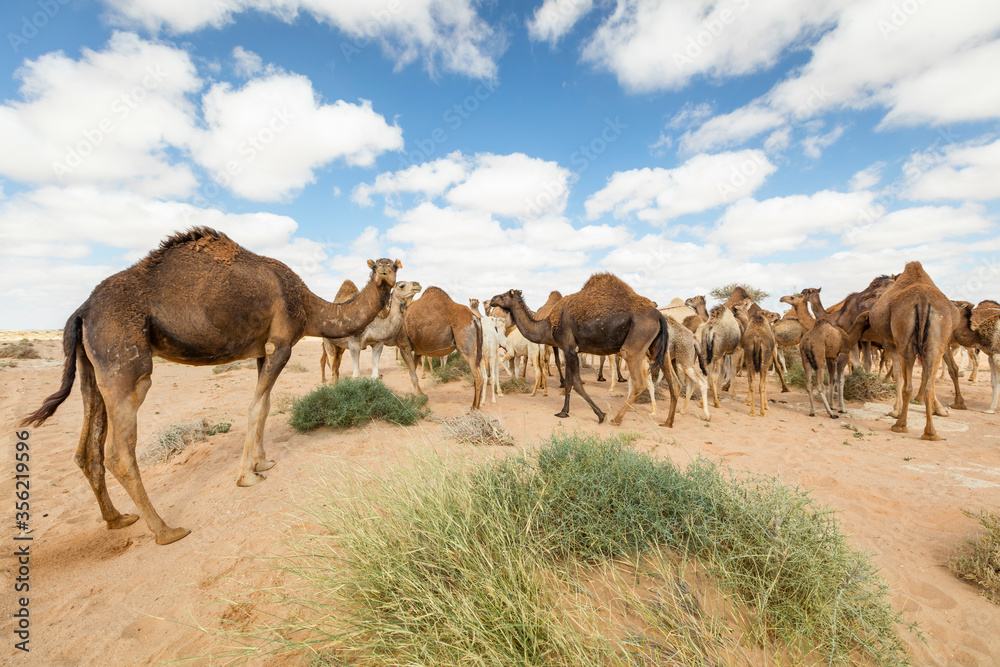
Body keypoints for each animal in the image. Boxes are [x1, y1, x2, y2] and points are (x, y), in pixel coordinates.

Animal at [21, 228, 398, 545]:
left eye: (395, 265)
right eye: (379, 266)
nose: (385, 274)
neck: (307, 305)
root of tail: (81, 311)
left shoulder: (262, 350)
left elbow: (265, 406)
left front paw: (263, 463)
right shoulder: (281, 344)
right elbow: (257, 406)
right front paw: (247, 476)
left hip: (90, 366)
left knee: (89, 447)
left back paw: (117, 519)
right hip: (124, 362)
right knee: (119, 450)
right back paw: (166, 531)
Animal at [488, 274, 676, 426]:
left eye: (504, 295)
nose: (491, 299)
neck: (548, 325)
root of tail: (659, 315)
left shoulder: (569, 347)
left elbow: (576, 383)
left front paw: (600, 414)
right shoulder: (569, 350)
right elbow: (569, 382)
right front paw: (564, 411)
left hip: (634, 347)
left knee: (639, 382)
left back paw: (616, 419)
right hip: (656, 348)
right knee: (673, 380)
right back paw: (668, 422)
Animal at [868, 262, 954, 440]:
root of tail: (923, 300)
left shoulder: (890, 343)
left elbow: (898, 376)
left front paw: (895, 410)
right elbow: (924, 378)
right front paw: (939, 410)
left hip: (905, 343)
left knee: (908, 385)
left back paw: (900, 425)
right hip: (935, 344)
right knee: (928, 386)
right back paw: (930, 433)